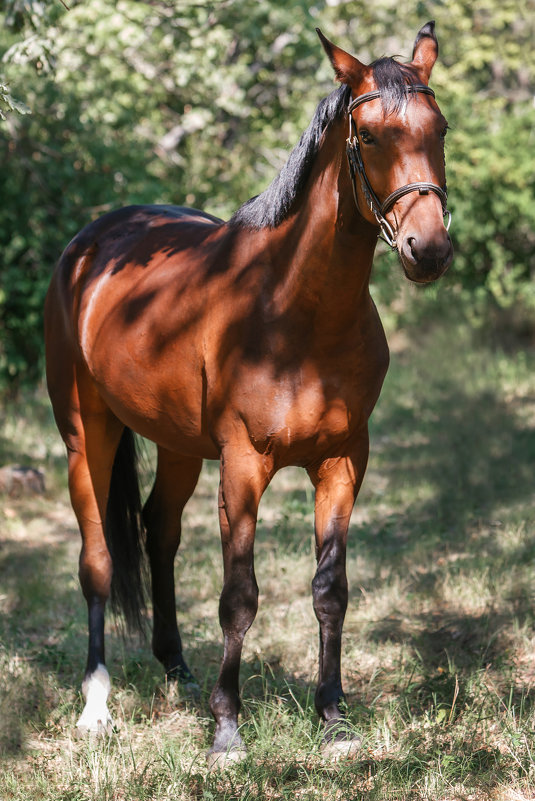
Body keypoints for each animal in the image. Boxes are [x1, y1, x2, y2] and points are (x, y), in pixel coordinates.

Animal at [44, 21, 452, 764]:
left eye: (437, 128)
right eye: (369, 134)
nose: (427, 249)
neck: (297, 311)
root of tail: (89, 244)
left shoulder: (343, 463)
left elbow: (330, 590)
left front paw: (334, 719)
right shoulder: (242, 465)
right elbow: (239, 595)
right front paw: (228, 729)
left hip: (177, 446)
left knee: (158, 530)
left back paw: (176, 669)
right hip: (85, 433)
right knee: (97, 560)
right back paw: (96, 704)